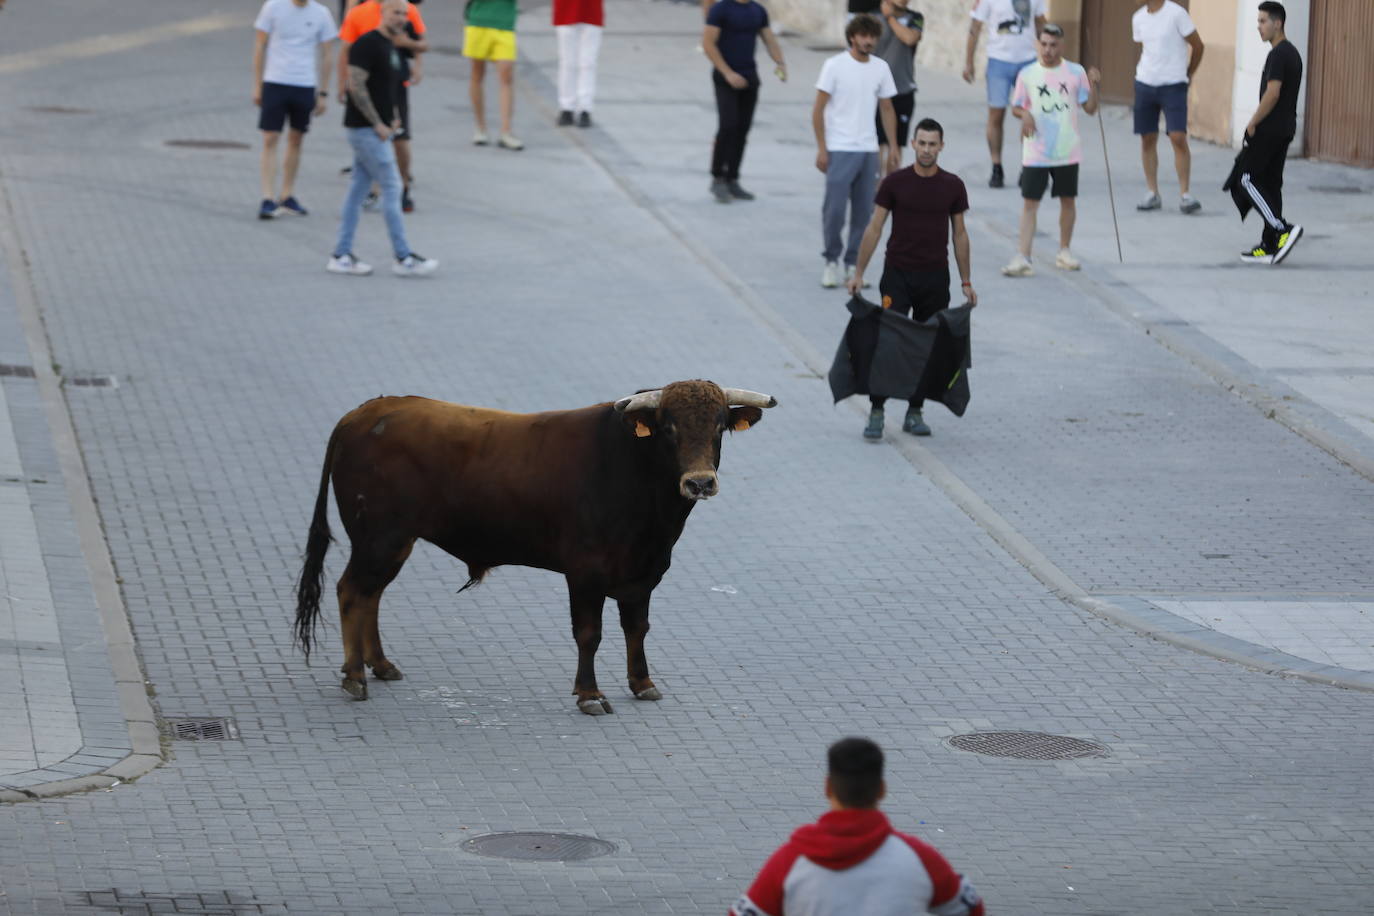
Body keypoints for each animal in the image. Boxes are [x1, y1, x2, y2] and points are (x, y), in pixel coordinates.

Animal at [295, 379, 780, 714]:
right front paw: (589, 694)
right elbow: (589, 634)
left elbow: (636, 628)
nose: (699, 482)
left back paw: (380, 665)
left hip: (393, 543)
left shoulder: (644, 572)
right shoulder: (585, 573)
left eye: (719, 426)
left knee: (371, 595)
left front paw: (642, 684)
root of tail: (366, 411)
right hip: (379, 538)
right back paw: (355, 676)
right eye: (669, 428)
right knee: (352, 592)